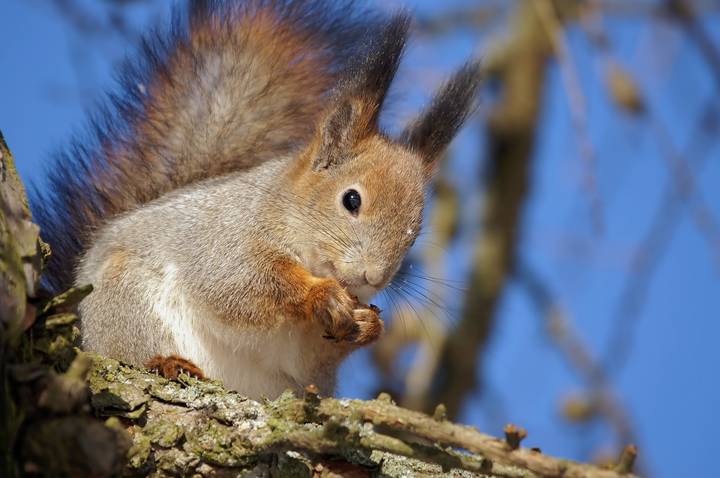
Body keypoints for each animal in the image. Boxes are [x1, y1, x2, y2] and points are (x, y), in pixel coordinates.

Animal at [32, 0, 481, 399]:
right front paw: (319, 294)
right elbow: (239, 281)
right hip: (123, 299)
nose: (373, 278)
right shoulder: (226, 237)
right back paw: (166, 362)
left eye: (414, 234)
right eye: (351, 199)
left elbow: (309, 357)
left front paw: (370, 326)